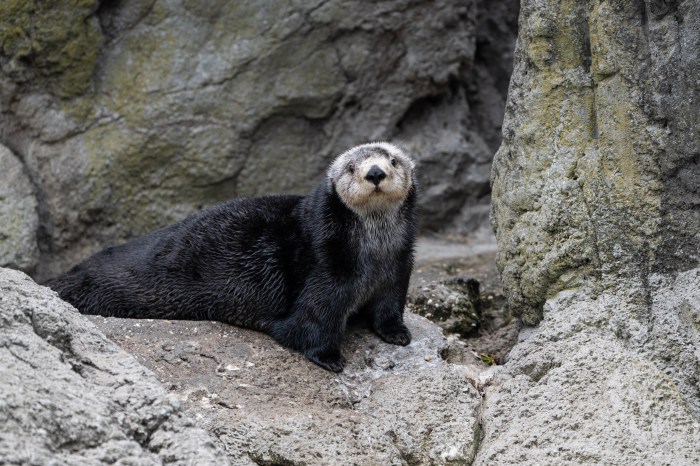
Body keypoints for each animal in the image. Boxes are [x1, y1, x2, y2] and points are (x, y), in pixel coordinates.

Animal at [45, 142, 417, 372]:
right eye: (351, 167)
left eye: (393, 160)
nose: (374, 173)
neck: (374, 253)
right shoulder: (327, 268)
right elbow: (309, 324)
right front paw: (329, 358)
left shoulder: (398, 270)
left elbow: (387, 309)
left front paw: (398, 334)